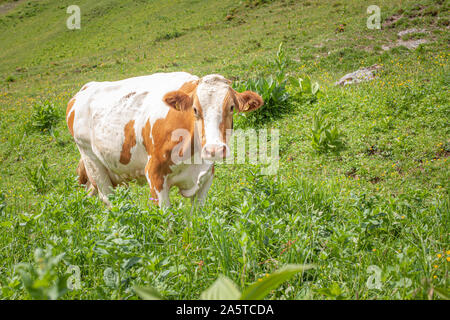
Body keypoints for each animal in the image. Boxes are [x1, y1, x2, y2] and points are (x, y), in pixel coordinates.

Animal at [67, 72, 264, 208]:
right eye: (194, 109)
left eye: (231, 107)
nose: (214, 149)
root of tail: (85, 89)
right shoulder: (154, 175)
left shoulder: (206, 176)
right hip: (93, 163)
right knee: (109, 200)